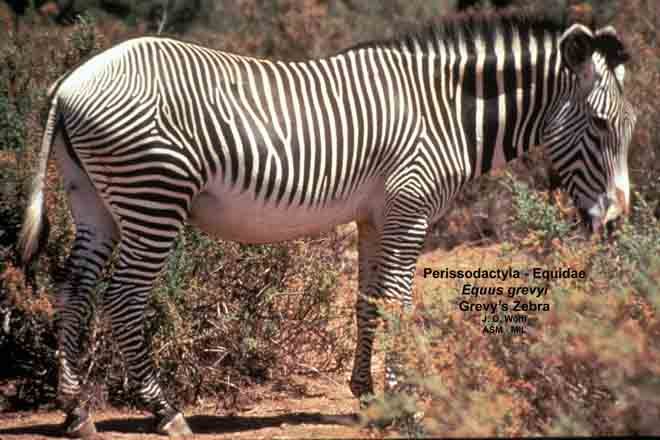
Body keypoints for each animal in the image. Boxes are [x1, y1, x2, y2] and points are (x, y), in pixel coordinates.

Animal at [19, 12, 636, 437]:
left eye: (631, 125)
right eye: (601, 125)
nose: (617, 224)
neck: (443, 110)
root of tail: (70, 82)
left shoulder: (375, 216)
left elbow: (366, 301)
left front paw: (366, 395)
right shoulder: (410, 209)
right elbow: (397, 304)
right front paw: (405, 402)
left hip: (92, 199)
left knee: (72, 289)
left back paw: (75, 413)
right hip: (154, 193)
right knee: (122, 297)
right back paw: (165, 411)